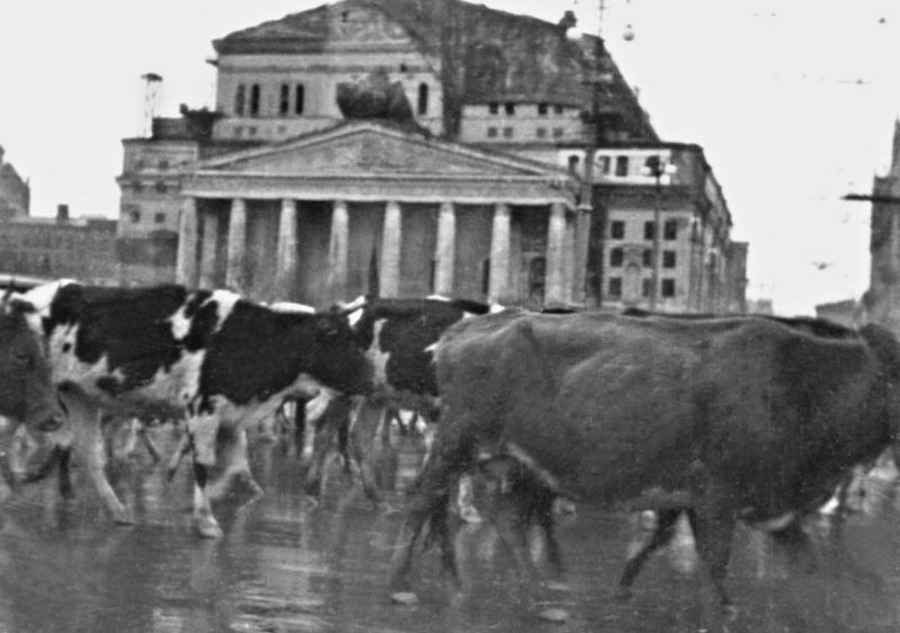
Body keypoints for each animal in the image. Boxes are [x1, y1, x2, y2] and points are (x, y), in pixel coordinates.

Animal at [22, 282, 372, 540]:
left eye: (354, 336)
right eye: (336, 338)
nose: (371, 378)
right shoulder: (202, 409)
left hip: (78, 396)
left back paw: (115, 510)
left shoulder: (232, 417)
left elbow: (237, 466)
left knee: (87, 453)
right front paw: (206, 520)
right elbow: (204, 465)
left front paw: (218, 499)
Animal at [390, 310, 900, 624]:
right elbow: (715, 571)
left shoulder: (776, 513)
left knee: (506, 517)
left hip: (521, 463)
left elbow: (826, 573)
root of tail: (465, 329)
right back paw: (401, 586)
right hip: (458, 440)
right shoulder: (716, 498)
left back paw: (537, 598)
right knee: (422, 501)